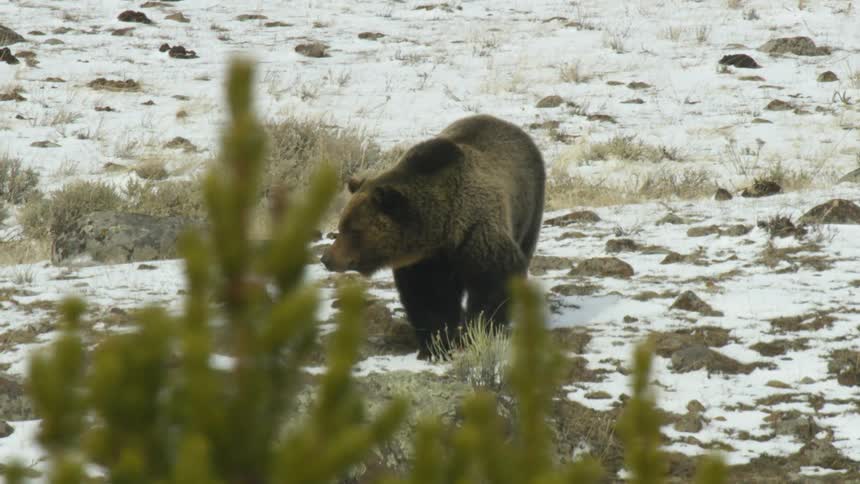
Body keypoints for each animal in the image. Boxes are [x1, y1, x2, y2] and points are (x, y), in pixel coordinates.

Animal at [321, 114, 545, 358]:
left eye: (353, 229)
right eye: (342, 225)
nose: (327, 258)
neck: (441, 229)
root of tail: (511, 127)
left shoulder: (475, 232)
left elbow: (495, 280)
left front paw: (477, 332)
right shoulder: (425, 260)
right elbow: (429, 297)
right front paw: (437, 344)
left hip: (528, 208)